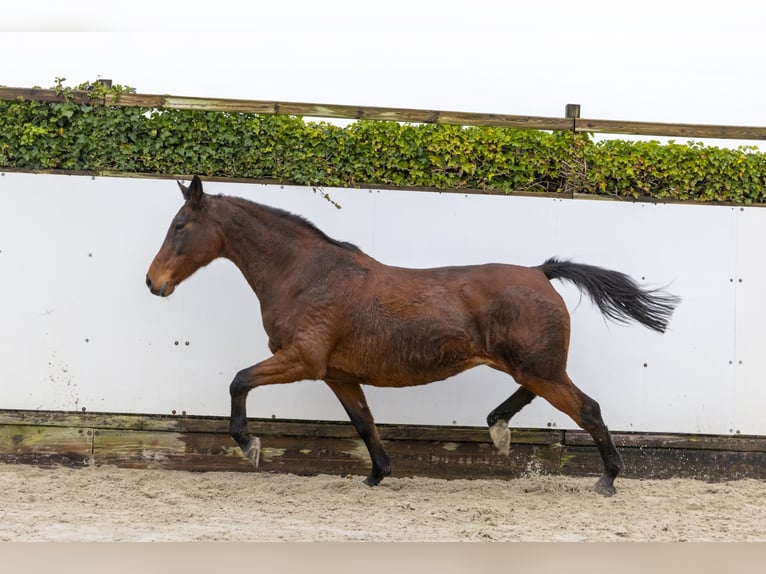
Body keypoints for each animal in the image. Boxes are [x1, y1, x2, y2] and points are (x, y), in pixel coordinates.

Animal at [146, 175, 679, 496]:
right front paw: (377, 474)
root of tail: (540, 272)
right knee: (544, 395)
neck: (305, 274)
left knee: (587, 408)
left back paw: (607, 479)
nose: (154, 282)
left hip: (539, 366)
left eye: (179, 225)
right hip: (533, 366)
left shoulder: (302, 359)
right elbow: (364, 423)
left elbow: (238, 380)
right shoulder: (338, 374)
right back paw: (499, 428)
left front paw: (249, 444)